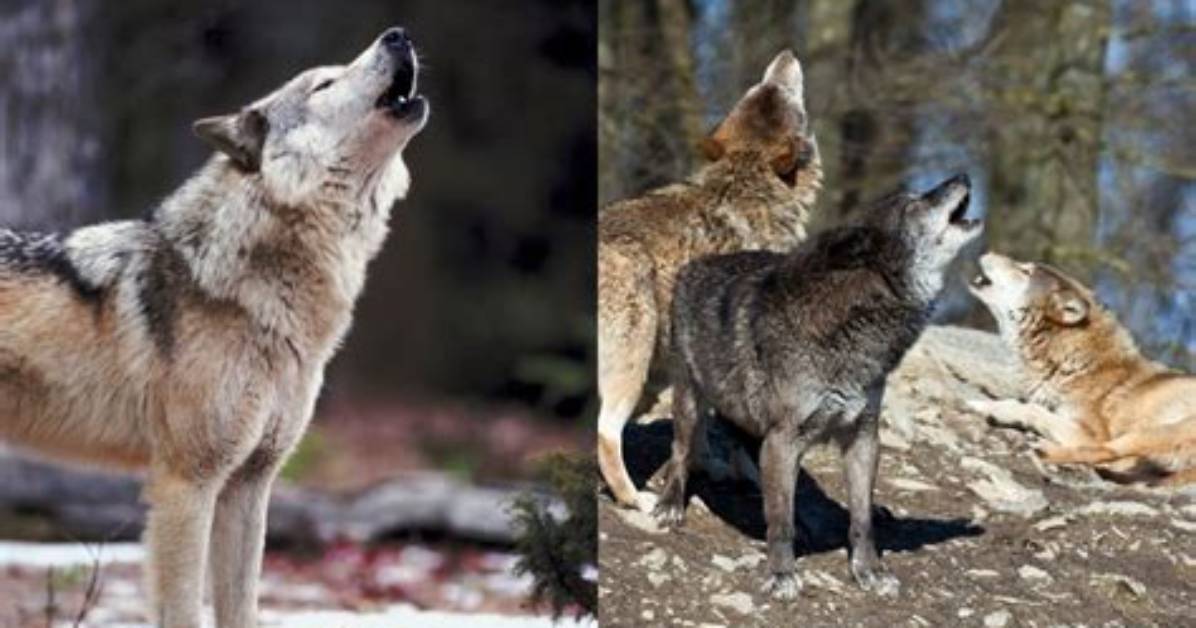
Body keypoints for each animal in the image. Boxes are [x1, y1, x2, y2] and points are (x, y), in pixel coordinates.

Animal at [0, 27, 426, 627]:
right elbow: (183, 608)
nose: (398, 34)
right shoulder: (187, 483)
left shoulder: (250, 485)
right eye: (324, 82)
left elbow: (241, 605)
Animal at [598, 50, 823, 511]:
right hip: (633, 364)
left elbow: (698, 428)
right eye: (778, 92)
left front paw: (705, 467)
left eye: (764, 90)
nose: (787, 54)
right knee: (606, 434)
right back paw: (636, 500)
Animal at [654, 175, 980, 600]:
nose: (963, 177)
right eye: (914, 203)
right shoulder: (783, 438)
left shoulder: (862, 437)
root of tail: (697, 263)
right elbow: (780, 522)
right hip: (690, 400)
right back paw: (671, 504)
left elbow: (861, 519)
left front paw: (868, 571)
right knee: (680, 451)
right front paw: (781, 574)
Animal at [967, 254, 1196, 486]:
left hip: (1156, 431)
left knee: (1109, 454)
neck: (1072, 363)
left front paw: (987, 405)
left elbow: (1030, 409)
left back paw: (1042, 452)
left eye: (1026, 271)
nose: (988, 253)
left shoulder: (1092, 433)